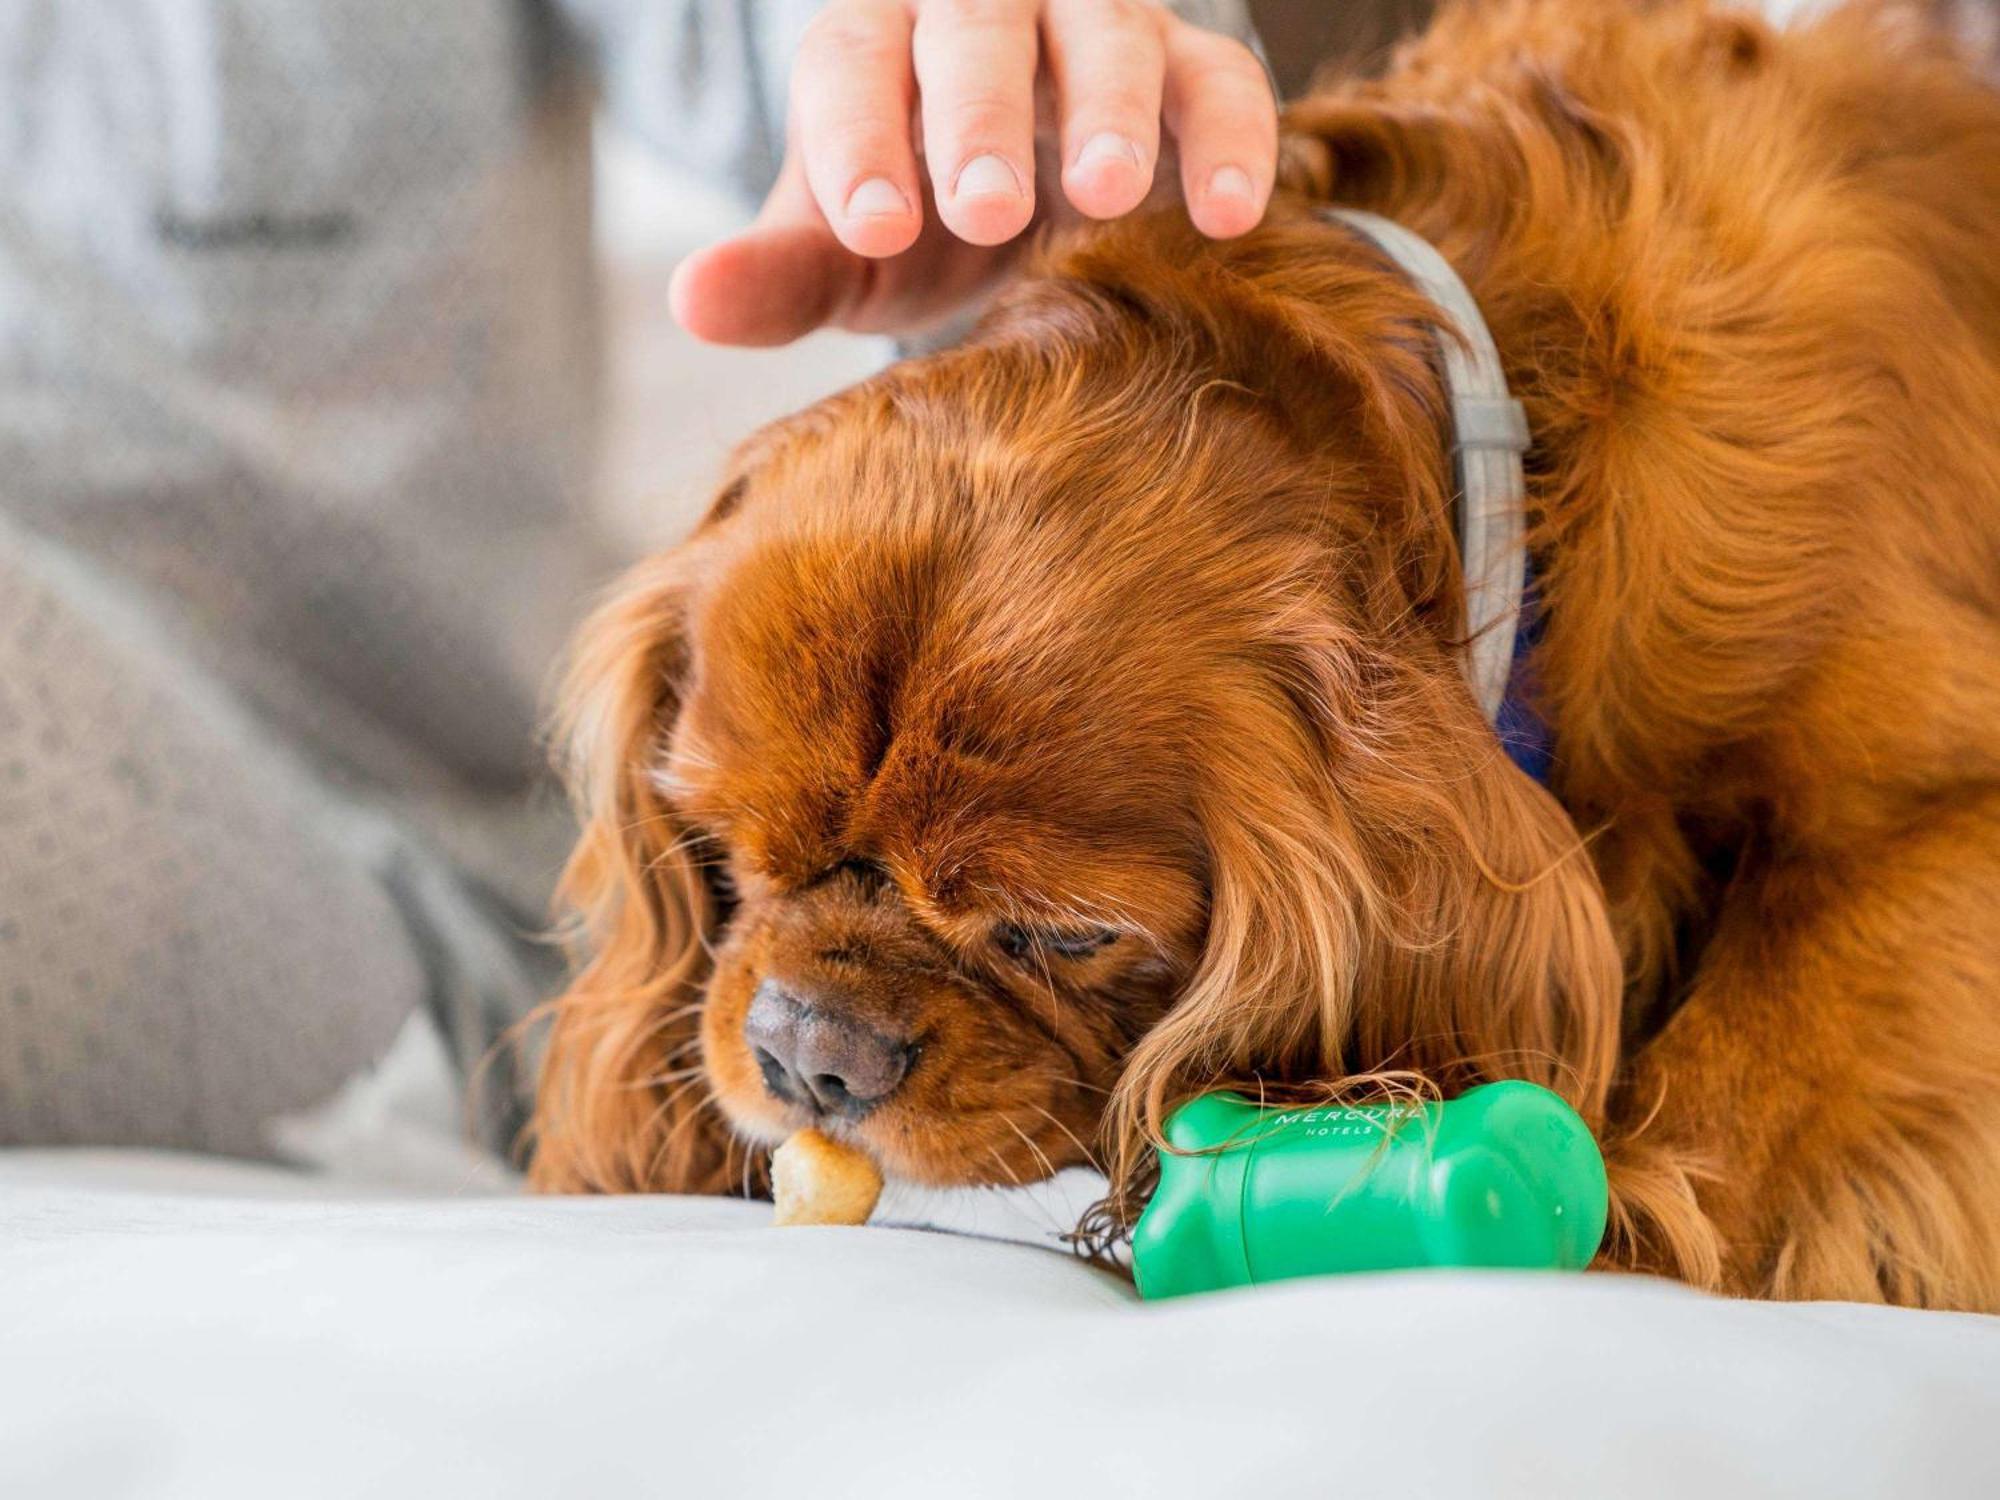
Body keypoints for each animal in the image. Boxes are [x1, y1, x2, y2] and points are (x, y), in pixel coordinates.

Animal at [528, 0, 2000, 1312]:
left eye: (1064, 936)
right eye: (720, 853)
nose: (810, 1051)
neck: (1531, 450)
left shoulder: (1932, 804)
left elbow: (1761, 1070)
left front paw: (1645, 1222)